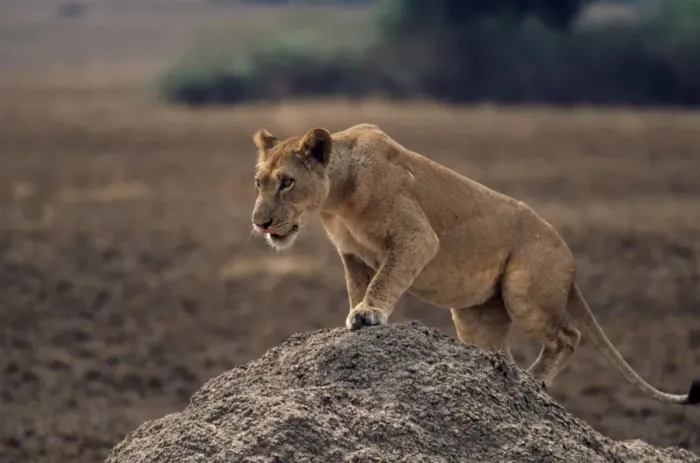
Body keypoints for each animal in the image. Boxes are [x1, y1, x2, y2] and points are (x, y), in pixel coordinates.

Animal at [250, 123, 699, 405]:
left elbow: (385, 279)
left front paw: (367, 316)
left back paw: (534, 380)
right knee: (504, 352)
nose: (260, 223)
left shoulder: (417, 238)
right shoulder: (353, 255)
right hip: (478, 317)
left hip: (525, 290)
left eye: (287, 182)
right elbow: (361, 286)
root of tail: (569, 257)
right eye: (259, 183)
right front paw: (356, 316)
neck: (336, 197)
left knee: (568, 335)